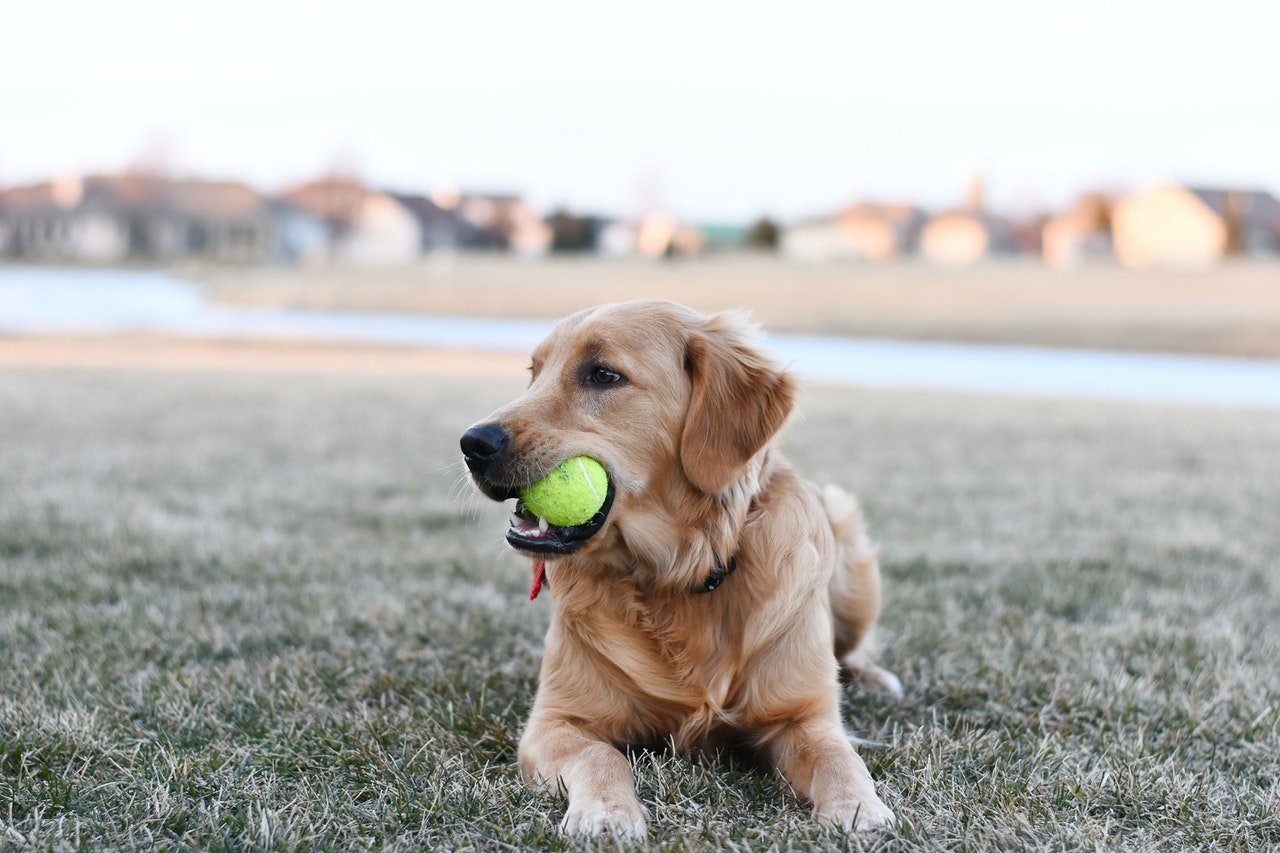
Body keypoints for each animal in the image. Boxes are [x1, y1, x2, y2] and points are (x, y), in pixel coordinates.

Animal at [463, 298, 901, 835]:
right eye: (535, 373)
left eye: (602, 374)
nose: (472, 443)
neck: (678, 575)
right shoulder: (556, 721)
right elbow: (601, 756)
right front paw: (607, 811)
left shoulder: (805, 716)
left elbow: (839, 757)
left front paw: (859, 808)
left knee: (854, 649)